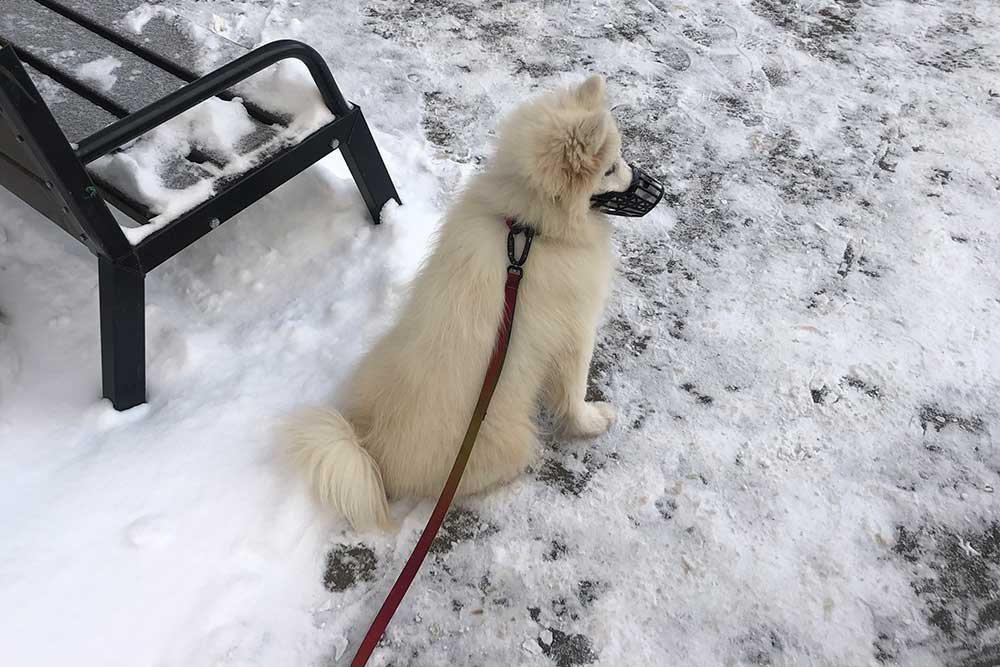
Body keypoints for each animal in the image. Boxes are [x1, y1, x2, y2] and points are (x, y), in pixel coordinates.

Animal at [282, 75, 640, 528]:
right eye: (609, 169)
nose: (649, 182)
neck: (528, 231)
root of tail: (372, 450)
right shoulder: (576, 332)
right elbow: (573, 393)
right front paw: (592, 422)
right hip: (511, 440)